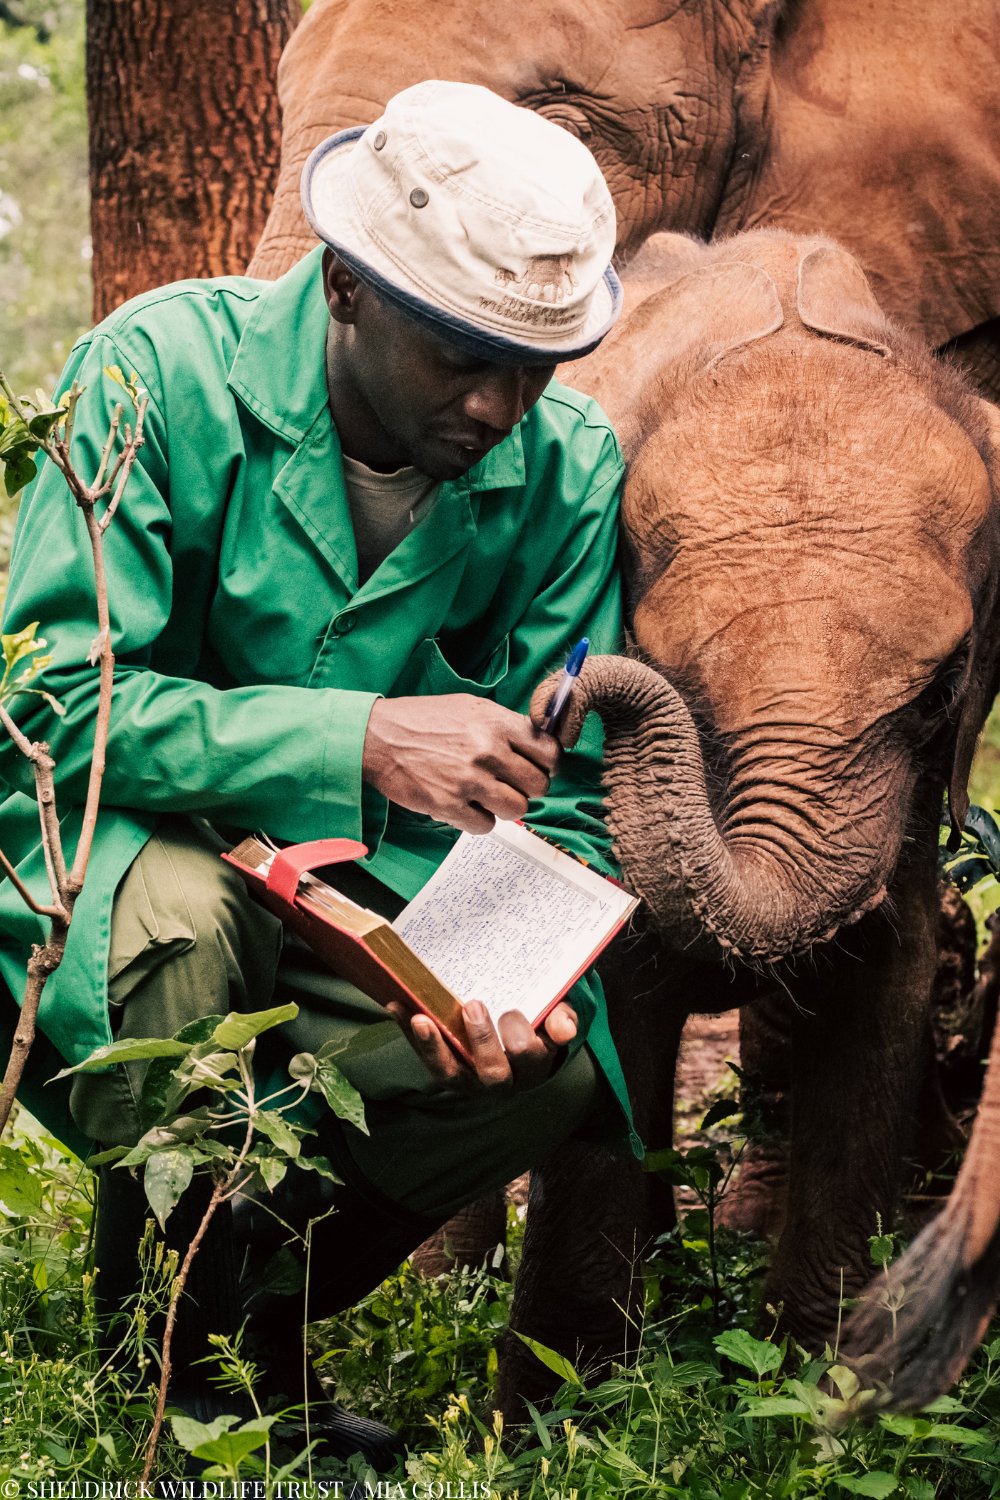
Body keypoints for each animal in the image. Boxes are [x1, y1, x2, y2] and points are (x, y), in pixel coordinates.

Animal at [486, 227, 1000, 1407]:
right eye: (662, 660)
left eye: (941, 693)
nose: (562, 694)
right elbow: (616, 993)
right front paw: (560, 1409)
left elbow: (883, 986)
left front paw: (815, 1385)